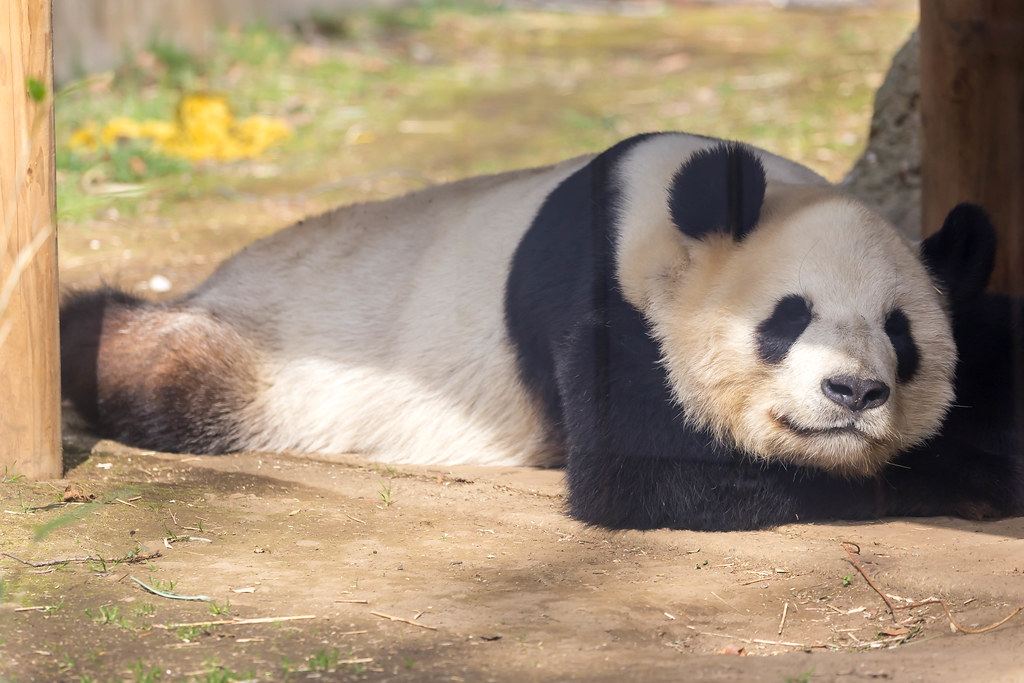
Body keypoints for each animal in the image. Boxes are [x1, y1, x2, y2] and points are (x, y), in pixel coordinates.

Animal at [60, 132, 1023, 530]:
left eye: (903, 335)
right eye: (787, 319)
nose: (853, 390)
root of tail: (219, 277)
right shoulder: (601, 307)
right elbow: (651, 480)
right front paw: (959, 479)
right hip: (266, 351)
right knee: (158, 366)